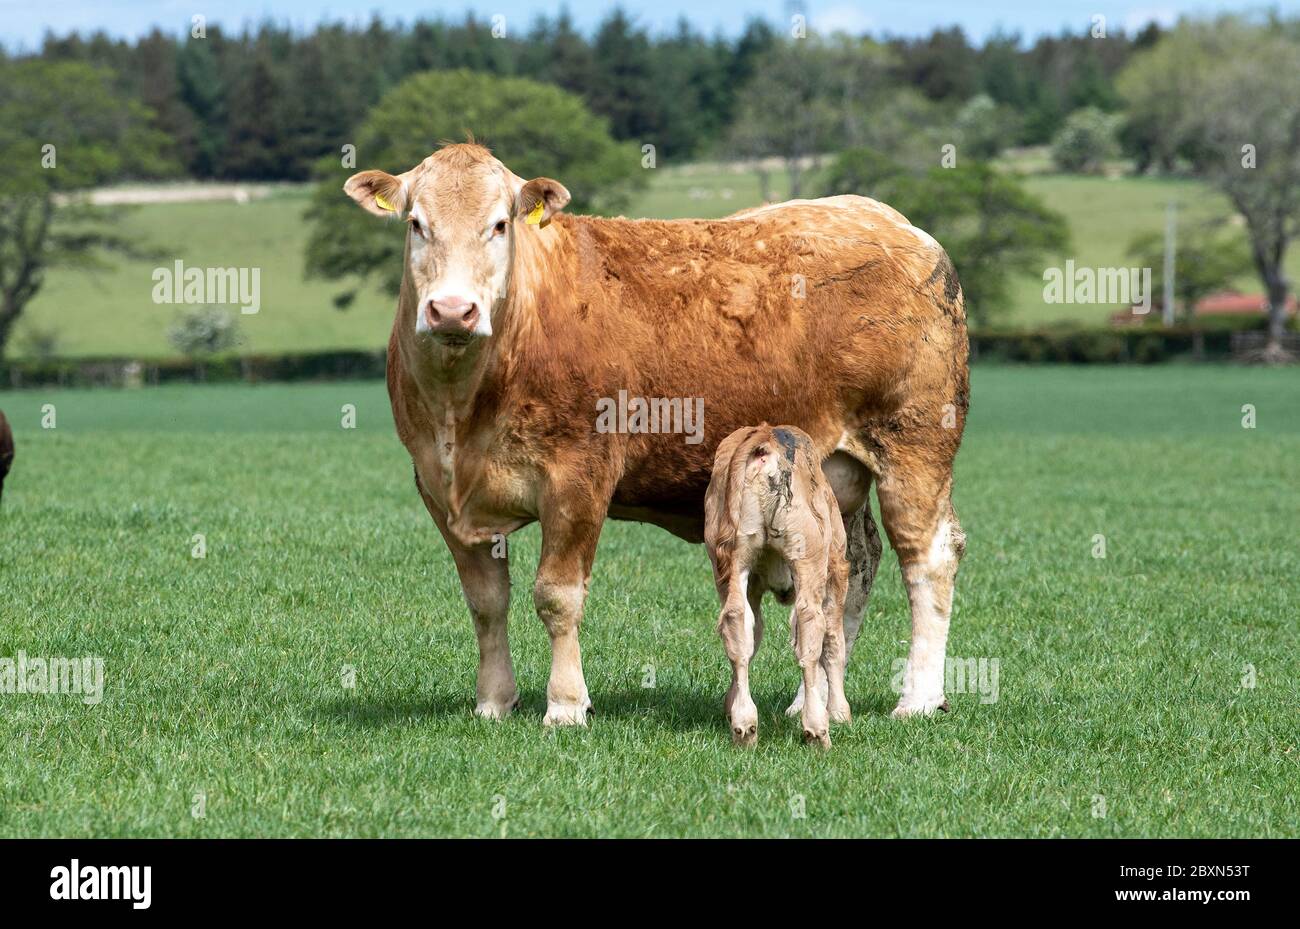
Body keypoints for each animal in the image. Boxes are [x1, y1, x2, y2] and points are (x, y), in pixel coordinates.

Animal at [705, 424, 850, 748]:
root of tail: (764, 436)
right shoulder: (836, 575)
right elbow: (834, 643)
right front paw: (840, 713)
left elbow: (753, 634)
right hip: (808, 556)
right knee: (810, 625)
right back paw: (817, 729)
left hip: (731, 561)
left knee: (736, 622)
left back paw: (744, 725)